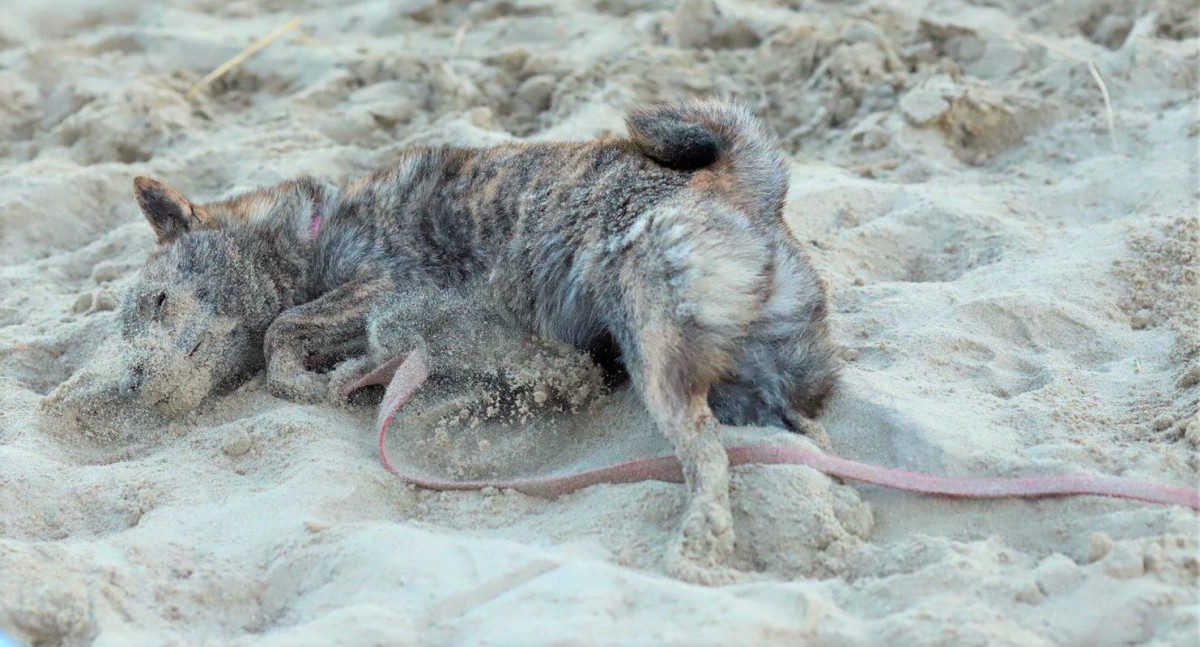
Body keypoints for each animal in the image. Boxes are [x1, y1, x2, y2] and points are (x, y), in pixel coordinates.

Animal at [60, 100, 840, 576]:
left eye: (158, 302)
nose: (134, 384)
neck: (311, 232)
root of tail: (748, 185)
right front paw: (350, 372)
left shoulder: (388, 286)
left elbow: (289, 331)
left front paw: (321, 377)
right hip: (758, 371)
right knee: (799, 435)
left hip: (653, 333)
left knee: (706, 450)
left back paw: (700, 531)